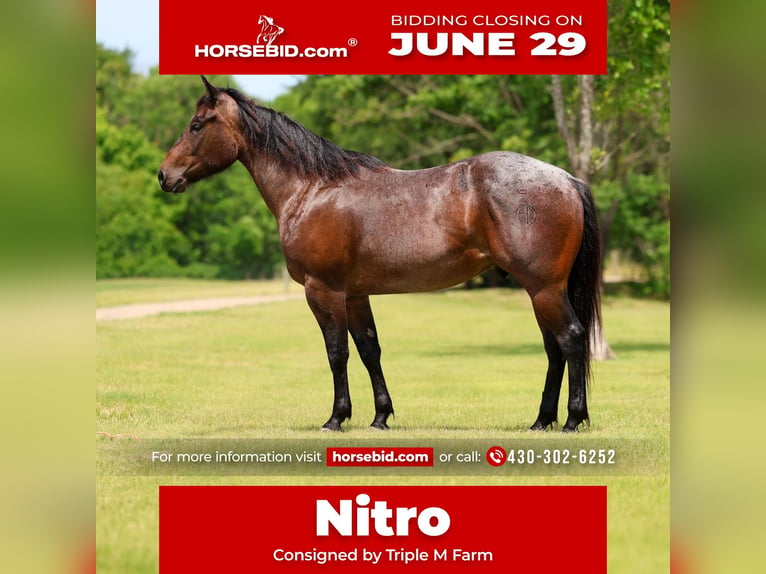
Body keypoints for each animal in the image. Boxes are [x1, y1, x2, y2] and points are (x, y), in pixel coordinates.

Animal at [158, 76, 602, 432]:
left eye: (196, 125)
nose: (164, 175)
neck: (312, 189)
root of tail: (566, 178)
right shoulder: (355, 294)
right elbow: (369, 350)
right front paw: (380, 417)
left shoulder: (324, 291)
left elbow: (337, 353)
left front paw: (336, 418)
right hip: (540, 290)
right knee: (554, 348)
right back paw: (541, 420)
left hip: (544, 288)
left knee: (571, 338)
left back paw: (571, 419)